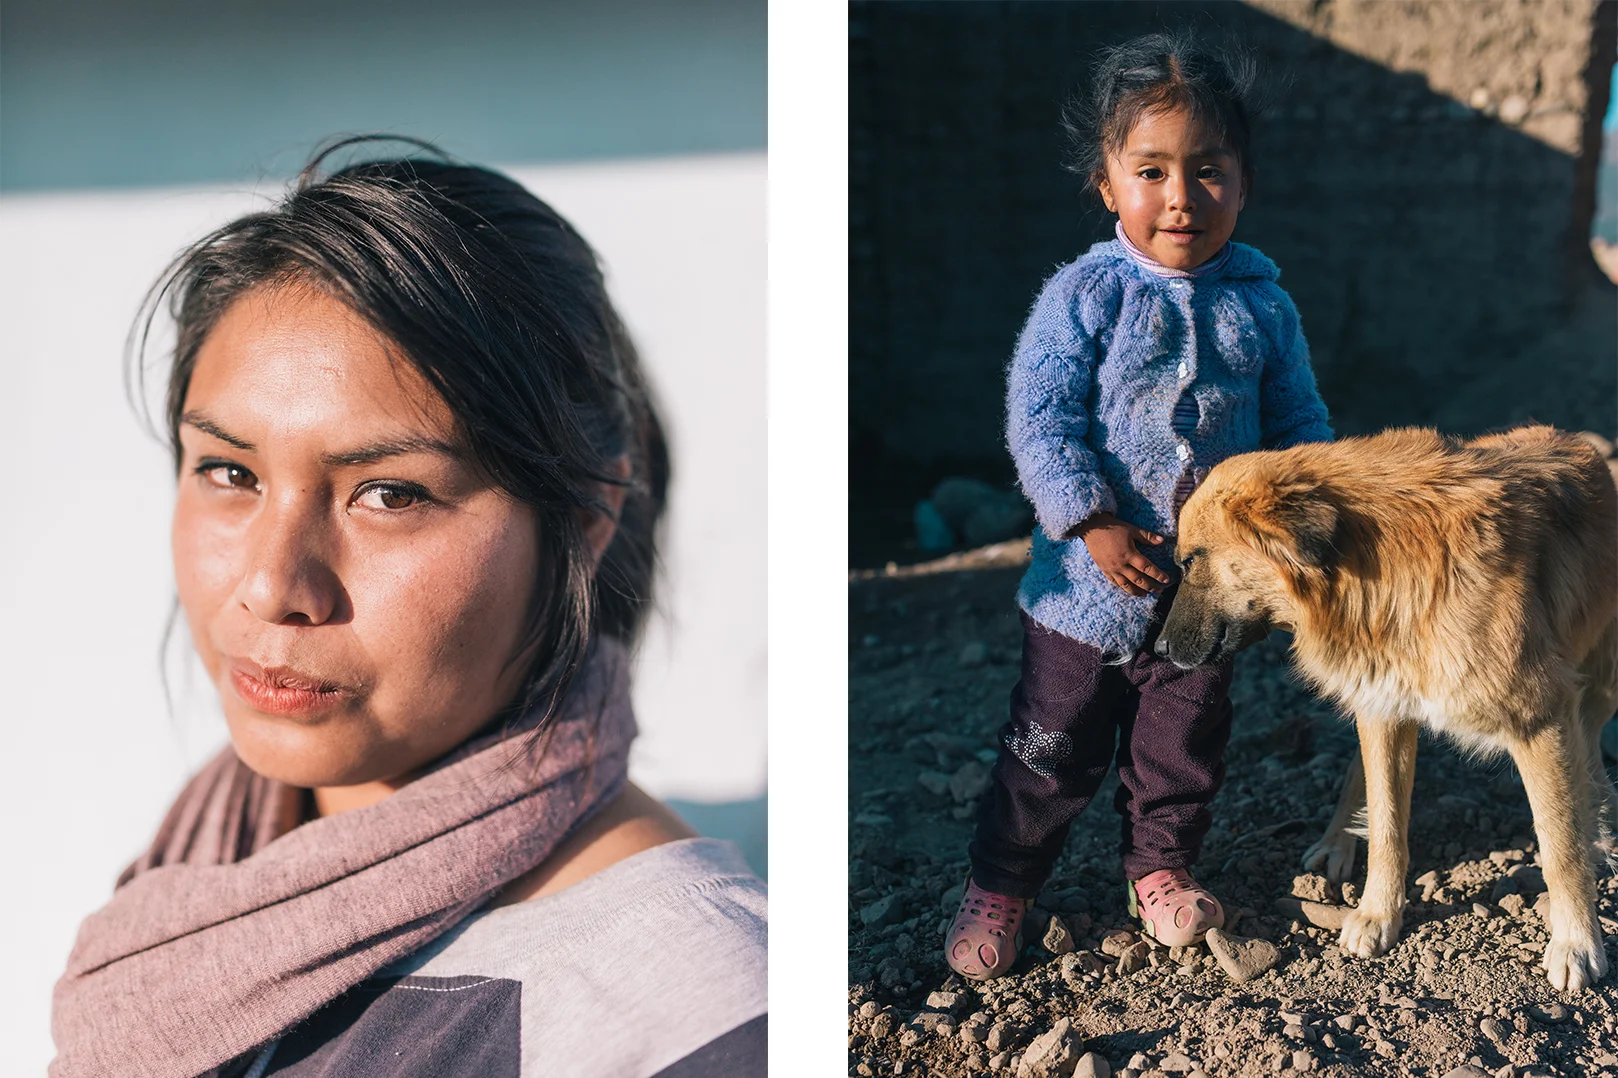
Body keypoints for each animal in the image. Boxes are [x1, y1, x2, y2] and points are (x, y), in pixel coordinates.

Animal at [1158, 424, 1618, 984]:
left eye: (1191, 560)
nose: (1158, 650)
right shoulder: (1383, 709)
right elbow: (1385, 825)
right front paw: (1378, 914)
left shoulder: (1541, 717)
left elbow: (1560, 844)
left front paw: (1576, 943)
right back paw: (1336, 840)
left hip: (1599, 685)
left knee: (1590, 754)